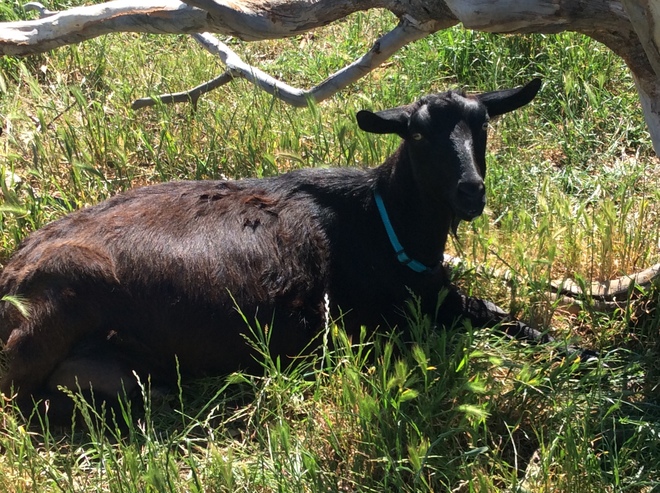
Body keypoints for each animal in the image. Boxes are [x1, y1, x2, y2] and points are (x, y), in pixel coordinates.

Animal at [0, 79, 554, 423]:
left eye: (483, 124)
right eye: (417, 133)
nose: (470, 191)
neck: (384, 221)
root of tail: (13, 273)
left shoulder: (443, 298)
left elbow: (512, 319)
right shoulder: (391, 319)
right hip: (59, 306)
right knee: (25, 399)